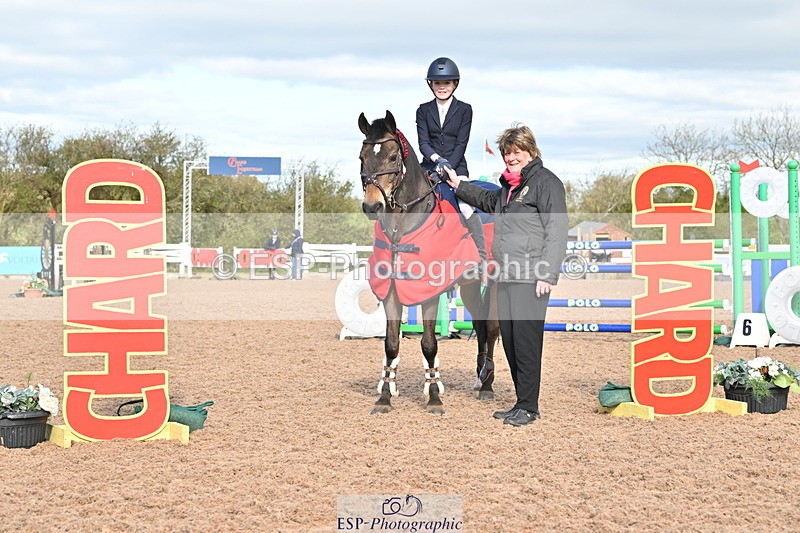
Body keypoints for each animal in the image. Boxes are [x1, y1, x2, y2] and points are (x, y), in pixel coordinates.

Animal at [358, 110, 500, 415]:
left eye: (393, 158)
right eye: (362, 158)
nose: (373, 206)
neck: (402, 228)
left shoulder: (430, 293)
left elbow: (429, 343)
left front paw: (434, 397)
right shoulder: (392, 292)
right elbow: (391, 344)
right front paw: (384, 397)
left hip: (495, 281)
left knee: (492, 329)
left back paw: (487, 386)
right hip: (470, 287)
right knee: (481, 326)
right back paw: (480, 377)